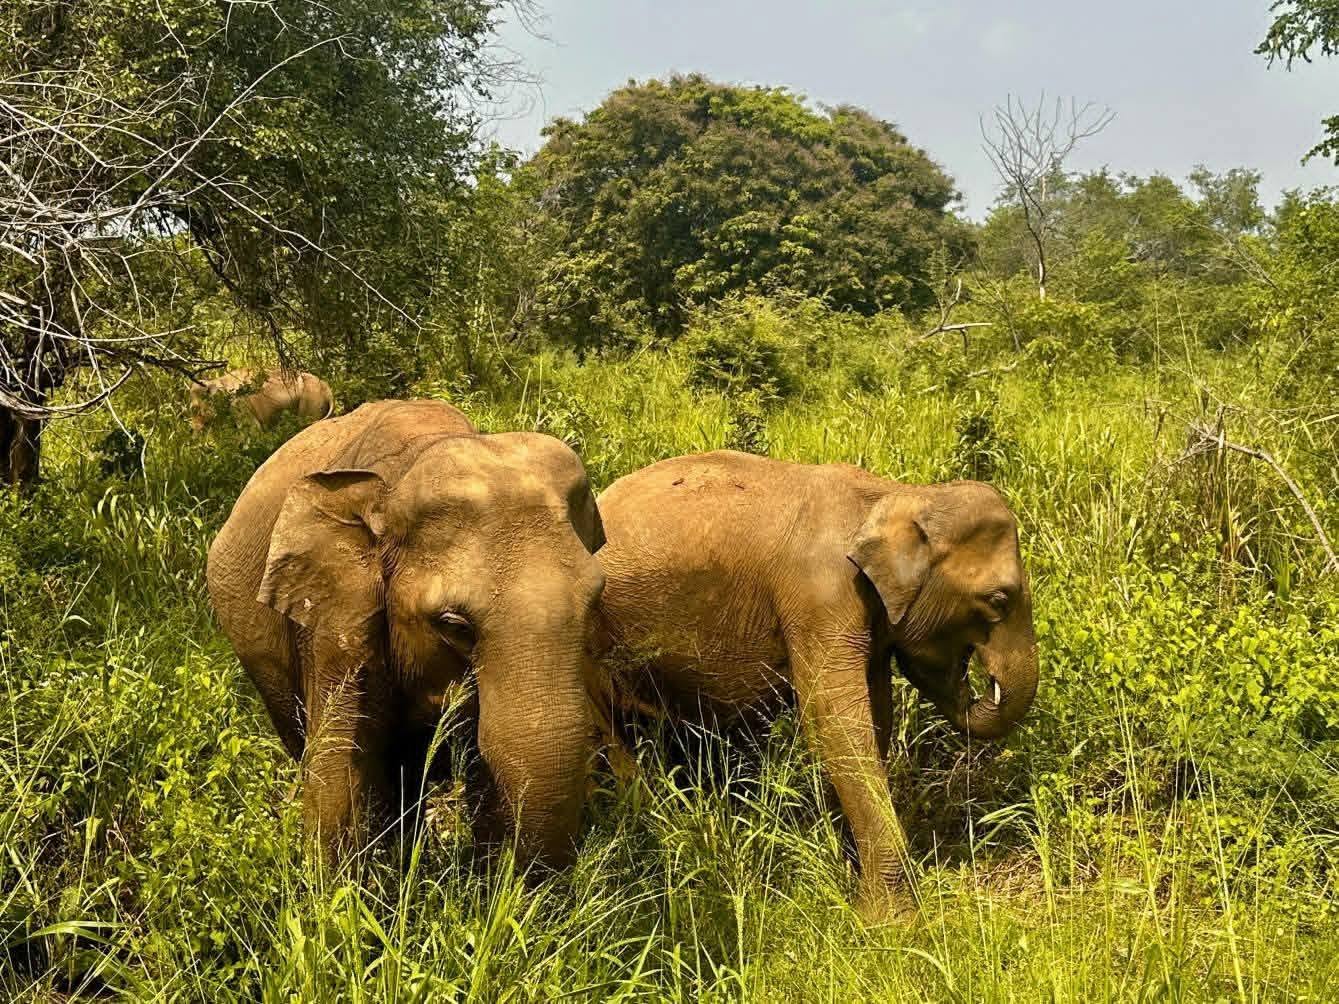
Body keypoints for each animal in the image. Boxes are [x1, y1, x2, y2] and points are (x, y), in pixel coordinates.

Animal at [190, 368, 334, 431]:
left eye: (194, 409)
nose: (192, 429)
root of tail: (327, 389)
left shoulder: (238, 405)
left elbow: (253, 431)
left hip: (310, 400)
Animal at [592, 450, 1038, 918]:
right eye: (998, 600)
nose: (981, 684)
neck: (898, 496)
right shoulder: (820, 597)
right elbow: (836, 719)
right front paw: (891, 919)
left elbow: (874, 715)